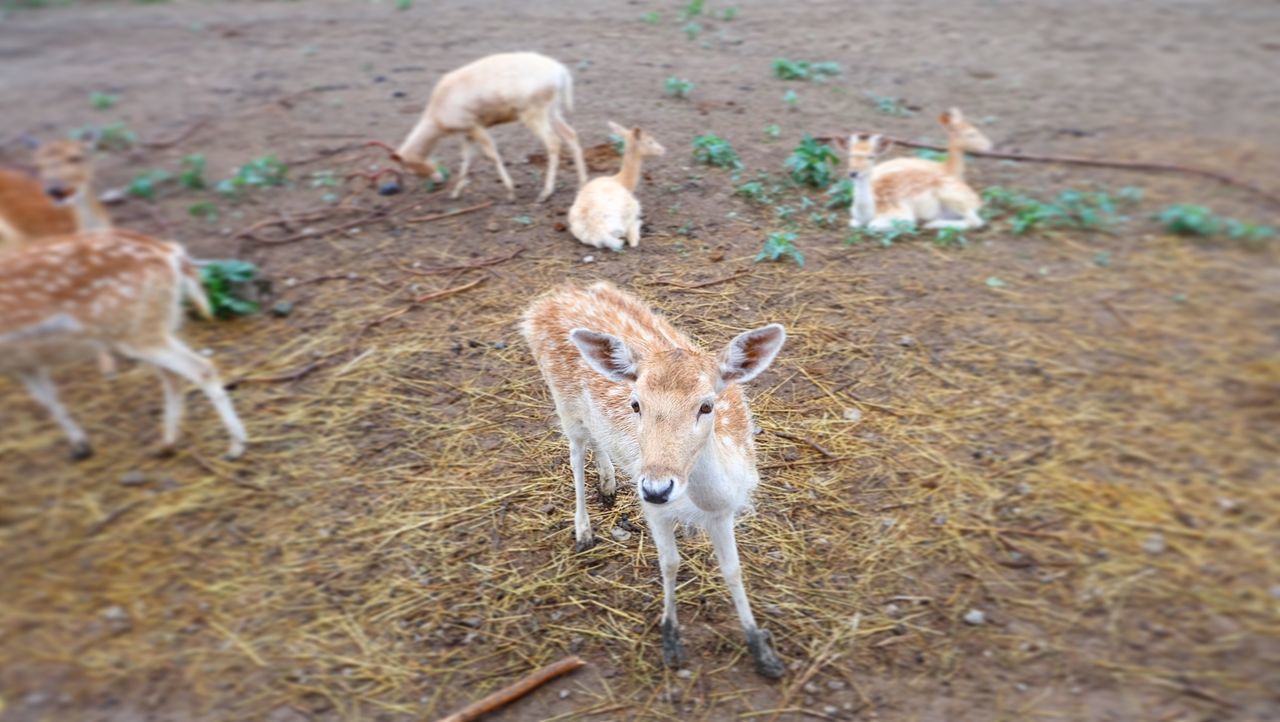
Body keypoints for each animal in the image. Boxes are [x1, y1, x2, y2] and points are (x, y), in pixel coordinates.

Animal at [0, 227, 247, 460]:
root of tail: (170, 253)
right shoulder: (25, 362)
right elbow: (48, 399)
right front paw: (81, 447)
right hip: (160, 323)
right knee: (174, 377)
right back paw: (165, 445)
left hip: (137, 333)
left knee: (201, 368)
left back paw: (236, 446)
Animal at [391, 52, 586, 203]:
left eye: (409, 169)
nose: (438, 180)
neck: (436, 116)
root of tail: (561, 72)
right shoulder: (466, 131)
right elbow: (466, 159)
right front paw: (455, 193)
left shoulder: (475, 126)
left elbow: (491, 155)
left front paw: (510, 193)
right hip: (552, 111)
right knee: (571, 135)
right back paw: (582, 183)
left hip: (533, 113)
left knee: (553, 142)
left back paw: (545, 194)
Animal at [522, 280, 783, 675]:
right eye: (635, 404)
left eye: (707, 405)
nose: (656, 488)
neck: (703, 500)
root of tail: (549, 299)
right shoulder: (655, 512)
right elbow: (669, 563)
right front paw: (671, 640)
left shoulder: (724, 512)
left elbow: (733, 570)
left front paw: (763, 652)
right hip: (563, 401)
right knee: (575, 451)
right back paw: (583, 531)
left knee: (597, 441)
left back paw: (609, 485)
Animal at [570, 120, 670, 250]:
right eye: (650, 141)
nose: (663, 150)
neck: (621, 180)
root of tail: (597, 232)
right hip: (631, 209)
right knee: (631, 238)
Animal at [844, 106, 993, 230]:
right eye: (971, 134)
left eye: (871, 157)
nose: (989, 146)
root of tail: (977, 200)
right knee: (975, 221)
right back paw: (930, 223)